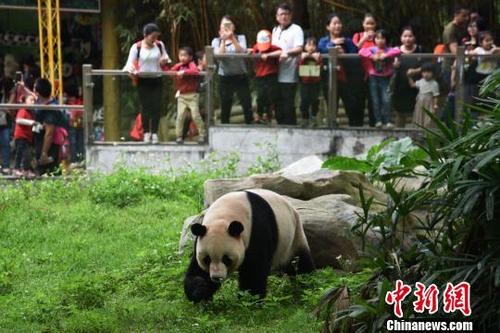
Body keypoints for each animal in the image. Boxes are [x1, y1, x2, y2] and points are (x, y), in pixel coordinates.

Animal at [186, 188, 314, 302]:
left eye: (226, 259)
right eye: (207, 259)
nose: (217, 277)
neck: (223, 217)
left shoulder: (256, 229)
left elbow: (254, 269)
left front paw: (250, 298)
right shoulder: (201, 237)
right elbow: (197, 270)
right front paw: (201, 290)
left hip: (294, 237)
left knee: (299, 262)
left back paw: (307, 281)